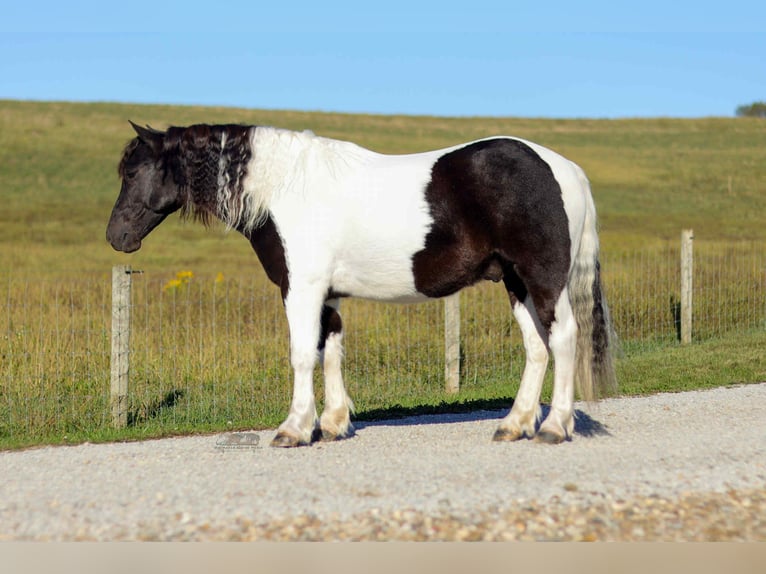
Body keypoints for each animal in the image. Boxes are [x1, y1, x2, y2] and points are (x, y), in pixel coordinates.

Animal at [107, 121, 616, 447]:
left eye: (133, 172)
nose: (117, 237)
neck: (286, 188)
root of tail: (565, 168)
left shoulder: (301, 288)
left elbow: (301, 354)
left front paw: (294, 429)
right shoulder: (327, 295)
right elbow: (330, 350)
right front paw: (333, 424)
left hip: (541, 279)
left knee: (564, 339)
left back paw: (554, 427)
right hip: (515, 282)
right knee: (537, 348)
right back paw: (515, 424)